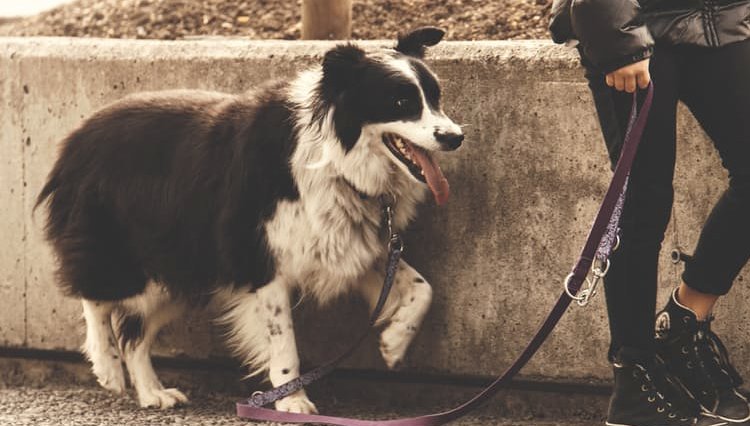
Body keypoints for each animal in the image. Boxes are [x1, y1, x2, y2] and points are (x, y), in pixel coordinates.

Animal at [35, 28, 464, 414]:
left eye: (436, 98)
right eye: (401, 101)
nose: (455, 137)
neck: (335, 157)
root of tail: (74, 140)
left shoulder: (347, 243)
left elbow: (423, 288)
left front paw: (393, 343)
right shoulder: (262, 258)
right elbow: (283, 340)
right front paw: (293, 401)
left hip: (182, 266)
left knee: (134, 335)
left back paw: (152, 392)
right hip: (125, 247)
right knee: (95, 296)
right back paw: (107, 367)